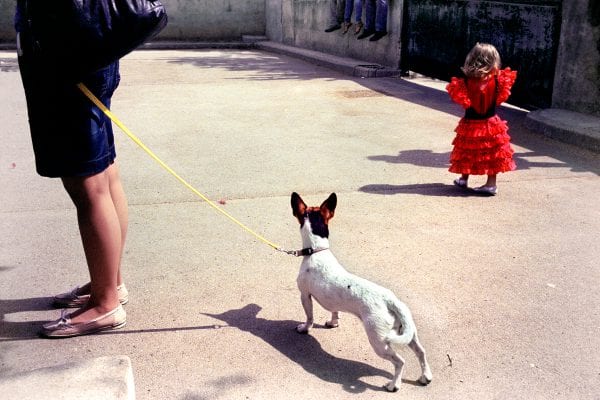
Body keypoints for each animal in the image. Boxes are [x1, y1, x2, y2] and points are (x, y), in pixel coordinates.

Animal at [290, 192, 432, 392]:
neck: (317, 250)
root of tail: (390, 300)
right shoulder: (332, 303)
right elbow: (335, 312)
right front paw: (333, 323)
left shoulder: (304, 295)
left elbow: (309, 317)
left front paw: (304, 328)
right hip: (408, 333)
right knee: (421, 351)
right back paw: (426, 376)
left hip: (379, 341)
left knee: (400, 362)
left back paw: (393, 385)